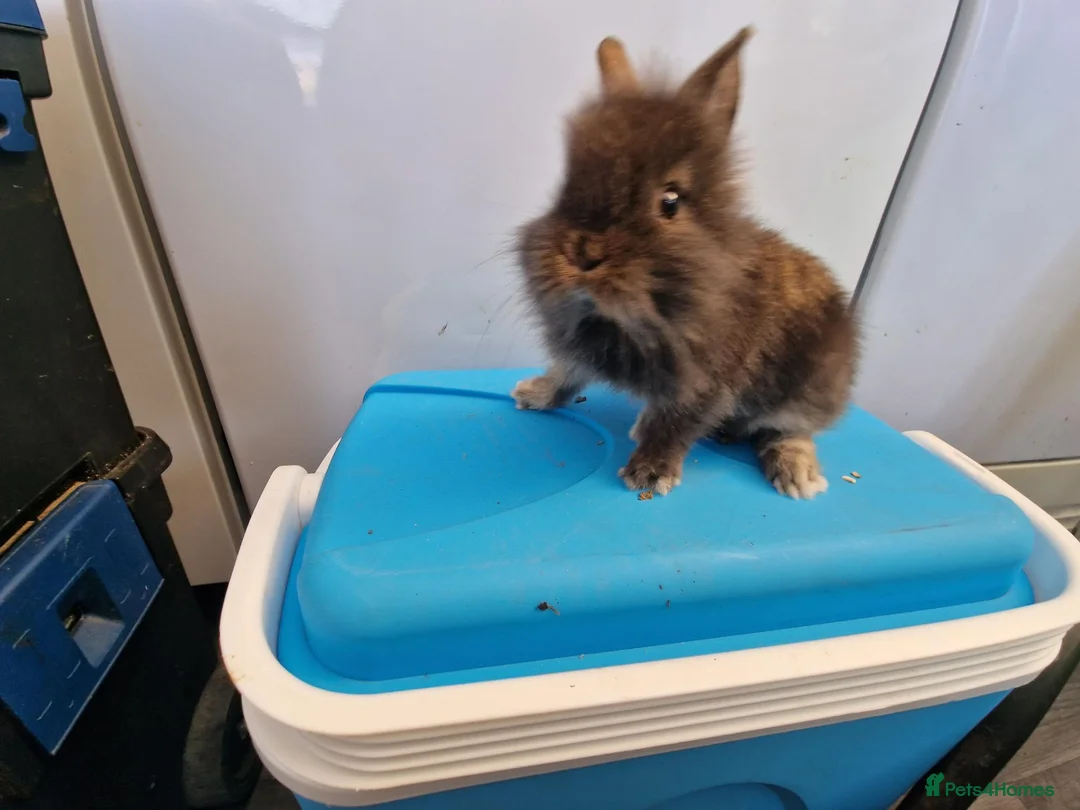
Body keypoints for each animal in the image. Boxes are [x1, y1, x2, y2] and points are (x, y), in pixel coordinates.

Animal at [511, 27, 859, 500]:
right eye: (565, 183)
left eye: (670, 201)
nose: (581, 253)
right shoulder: (580, 351)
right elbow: (566, 375)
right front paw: (532, 394)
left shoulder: (704, 382)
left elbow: (675, 424)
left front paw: (649, 475)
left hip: (808, 388)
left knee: (788, 430)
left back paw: (798, 476)